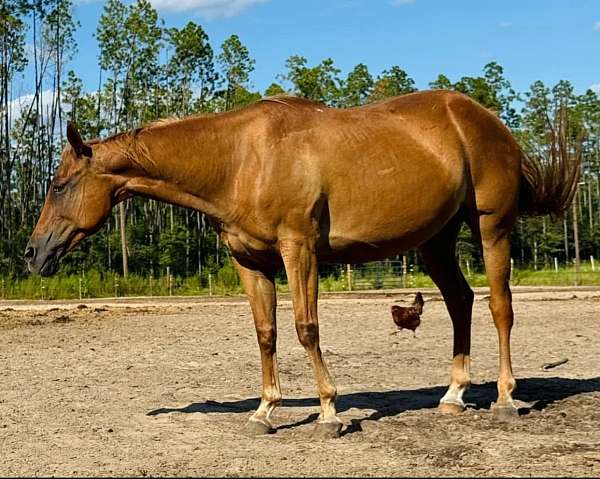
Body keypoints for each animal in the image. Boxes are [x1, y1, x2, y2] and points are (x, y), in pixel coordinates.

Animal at [24, 90, 580, 438]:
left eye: (59, 185)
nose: (32, 253)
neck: (240, 160)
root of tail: (487, 120)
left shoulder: (300, 251)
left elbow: (305, 328)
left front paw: (329, 412)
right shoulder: (252, 263)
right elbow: (266, 333)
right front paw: (265, 411)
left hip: (492, 227)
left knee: (500, 307)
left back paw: (505, 399)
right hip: (435, 241)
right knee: (460, 302)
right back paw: (453, 394)